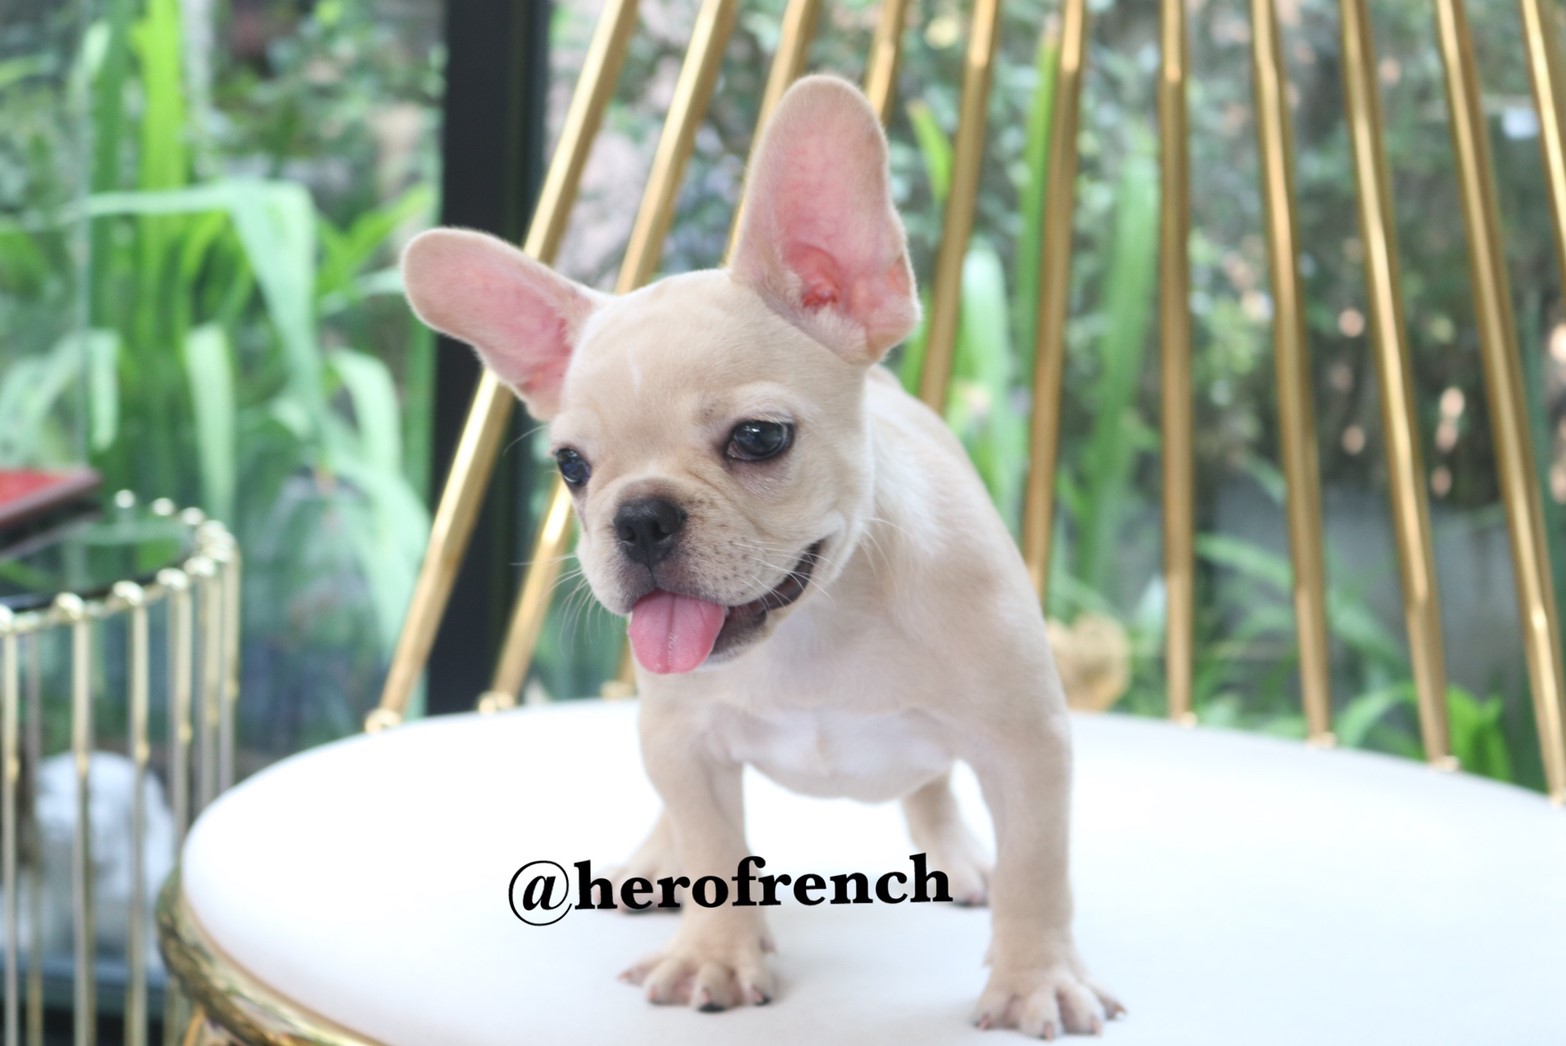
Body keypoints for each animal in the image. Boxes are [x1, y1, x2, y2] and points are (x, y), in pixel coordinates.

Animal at [402, 75, 1122, 1038]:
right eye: (572, 468)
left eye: (759, 438)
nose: (640, 517)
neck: (816, 629)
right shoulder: (682, 742)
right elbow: (713, 846)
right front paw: (715, 951)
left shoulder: (1027, 742)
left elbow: (1039, 872)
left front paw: (1037, 977)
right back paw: (654, 862)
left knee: (934, 786)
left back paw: (957, 855)